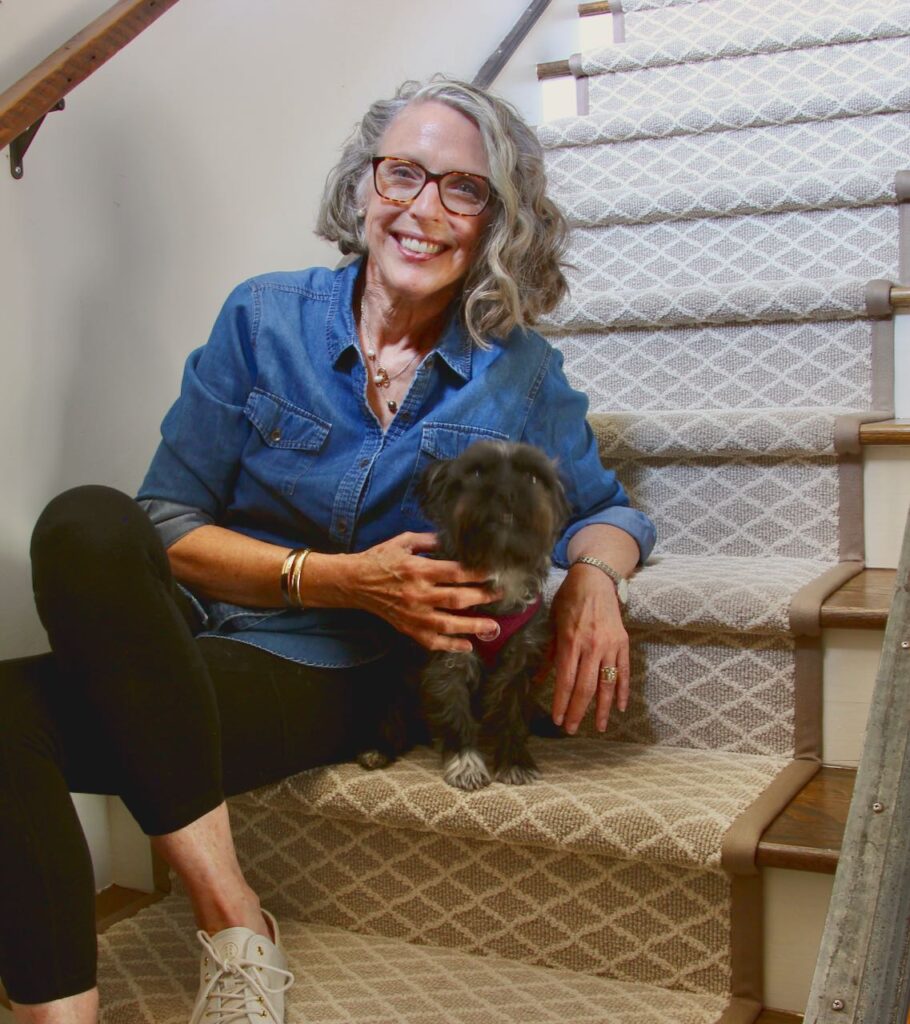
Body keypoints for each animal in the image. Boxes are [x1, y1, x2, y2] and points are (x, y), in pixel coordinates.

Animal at [413, 442, 569, 790]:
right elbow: (454, 714)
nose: (507, 492)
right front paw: (465, 763)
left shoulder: (518, 666)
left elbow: (512, 716)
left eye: (532, 477)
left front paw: (514, 761)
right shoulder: (449, 659)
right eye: (475, 472)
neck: (500, 563)